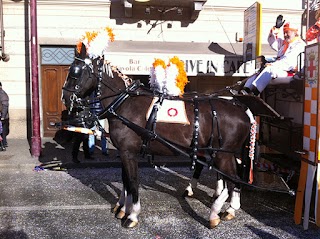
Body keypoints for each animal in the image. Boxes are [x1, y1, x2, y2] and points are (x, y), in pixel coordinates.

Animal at [61, 44, 256, 229]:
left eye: (75, 72)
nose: (65, 96)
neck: (125, 102)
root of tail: (241, 109)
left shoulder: (128, 152)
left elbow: (132, 181)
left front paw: (132, 215)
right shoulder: (125, 152)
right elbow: (125, 180)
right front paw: (122, 208)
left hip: (223, 154)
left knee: (232, 178)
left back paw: (216, 212)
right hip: (224, 154)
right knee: (232, 178)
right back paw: (229, 208)